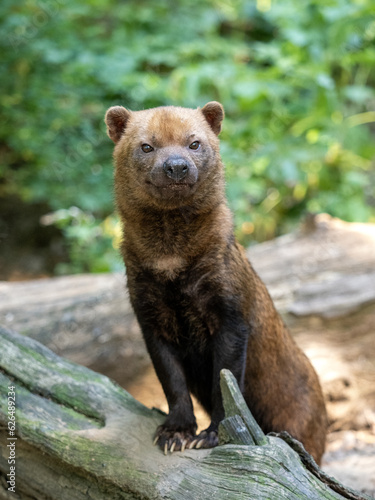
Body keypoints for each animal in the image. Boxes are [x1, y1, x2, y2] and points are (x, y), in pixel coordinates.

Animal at [104, 102, 328, 464]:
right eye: (146, 146)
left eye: (194, 142)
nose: (176, 166)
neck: (171, 264)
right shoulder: (149, 315)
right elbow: (172, 382)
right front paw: (175, 433)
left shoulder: (229, 313)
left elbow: (224, 380)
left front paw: (210, 435)